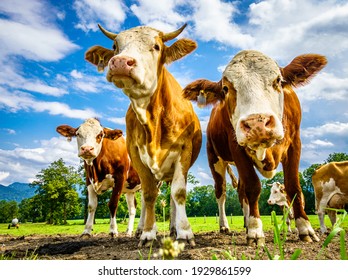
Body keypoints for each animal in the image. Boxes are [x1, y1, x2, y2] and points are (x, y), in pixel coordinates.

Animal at [84, 24, 203, 247]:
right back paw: (141, 229)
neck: (153, 121)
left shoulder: (185, 150)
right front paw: (148, 234)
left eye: (156, 46)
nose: (120, 62)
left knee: (172, 199)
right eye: (115, 46)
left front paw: (184, 232)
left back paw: (173, 228)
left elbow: (179, 193)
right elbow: (148, 195)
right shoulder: (135, 153)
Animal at [184, 50, 328, 245]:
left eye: (278, 80)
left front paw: (305, 228)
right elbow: (253, 187)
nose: (257, 123)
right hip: (215, 158)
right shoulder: (236, 147)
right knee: (221, 192)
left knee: (240, 191)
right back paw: (225, 225)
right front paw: (255, 231)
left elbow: (293, 187)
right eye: (225, 88)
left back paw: (245, 220)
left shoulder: (295, 143)